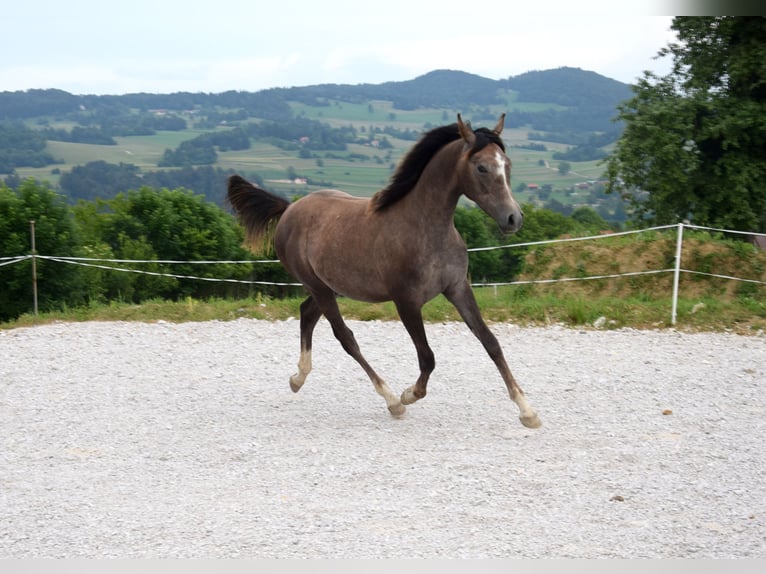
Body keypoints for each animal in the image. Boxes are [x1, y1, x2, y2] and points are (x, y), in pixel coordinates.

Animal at [226, 113, 540, 428]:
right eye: (482, 167)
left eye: (507, 164)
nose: (513, 218)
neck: (425, 229)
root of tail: (290, 209)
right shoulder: (406, 302)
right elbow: (428, 357)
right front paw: (407, 395)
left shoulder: (457, 288)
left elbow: (491, 342)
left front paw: (528, 411)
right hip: (320, 287)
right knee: (346, 337)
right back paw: (390, 400)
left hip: (331, 287)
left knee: (307, 314)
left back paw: (297, 378)